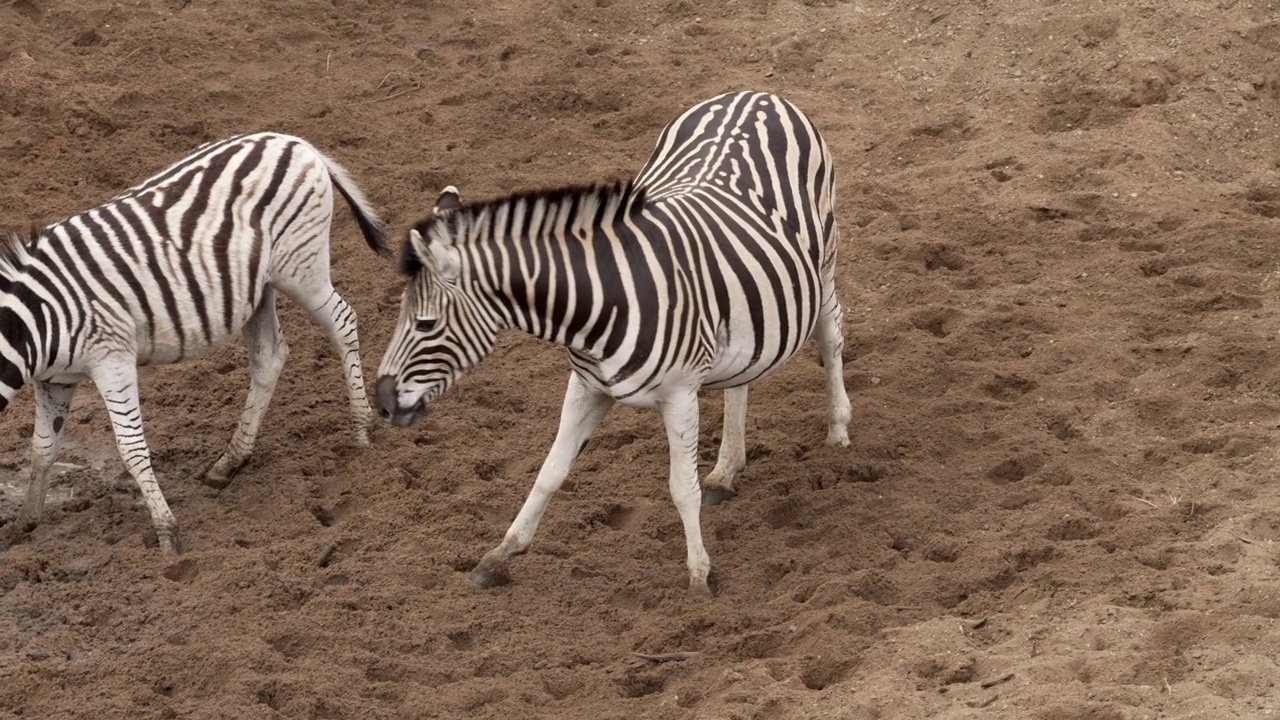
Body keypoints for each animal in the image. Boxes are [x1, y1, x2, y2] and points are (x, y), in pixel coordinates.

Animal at [1, 131, 389, 550]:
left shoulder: (112, 359)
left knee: (343, 322)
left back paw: (362, 429)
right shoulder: (54, 380)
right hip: (259, 286)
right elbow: (43, 448)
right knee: (269, 358)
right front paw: (24, 523)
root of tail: (295, 141)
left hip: (301, 267)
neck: (33, 324)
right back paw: (229, 462)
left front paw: (166, 532)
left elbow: (131, 448)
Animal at [373, 89, 849, 594]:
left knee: (831, 335)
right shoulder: (587, 387)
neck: (600, 305)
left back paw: (838, 430)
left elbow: (682, 488)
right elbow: (550, 472)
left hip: (822, 265)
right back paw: (725, 471)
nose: (382, 401)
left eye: (425, 324)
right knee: (744, 374)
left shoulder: (681, 396)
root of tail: (755, 94)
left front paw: (699, 575)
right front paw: (499, 556)